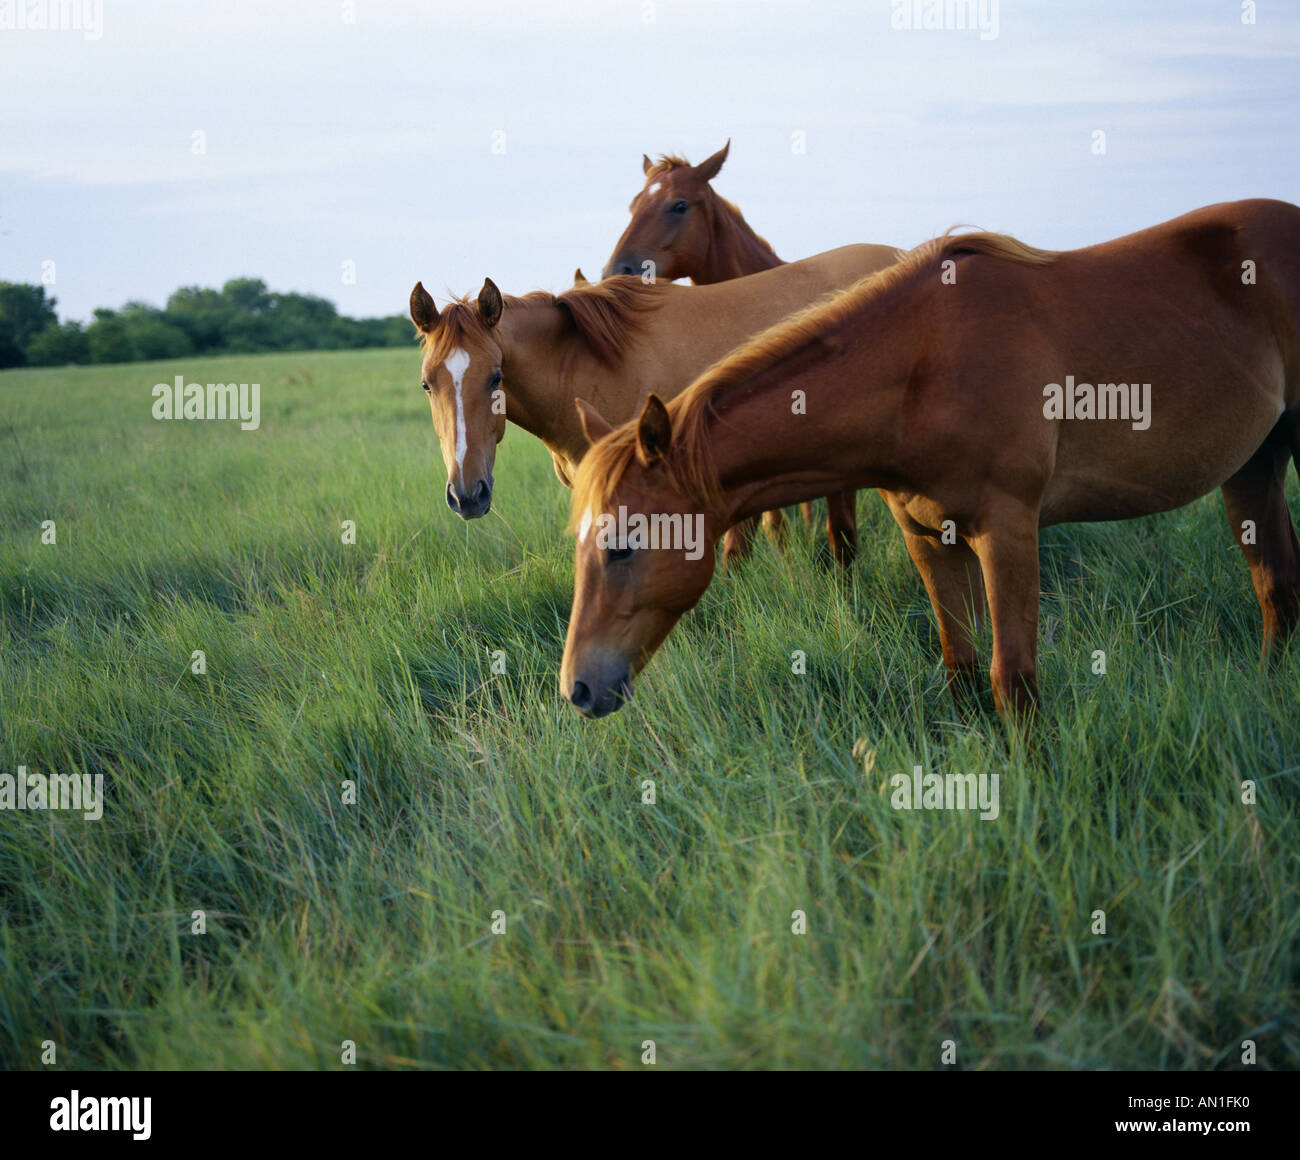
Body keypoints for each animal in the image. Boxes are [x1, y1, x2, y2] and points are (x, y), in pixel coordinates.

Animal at [560, 199, 1300, 719]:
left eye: (622, 546)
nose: (578, 689)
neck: (924, 364)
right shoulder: (928, 537)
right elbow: (961, 667)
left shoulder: (1008, 532)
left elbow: (1013, 680)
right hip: (1254, 465)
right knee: (1275, 585)